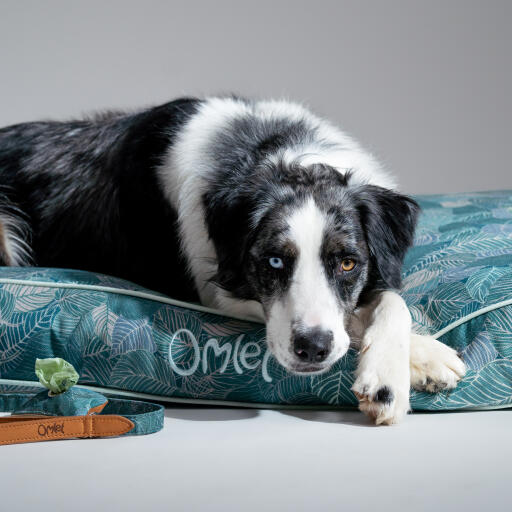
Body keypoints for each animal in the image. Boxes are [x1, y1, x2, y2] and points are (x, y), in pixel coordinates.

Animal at [0, 96, 464, 424]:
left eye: (348, 263)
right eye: (274, 263)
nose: (312, 350)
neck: (273, 151)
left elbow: (389, 299)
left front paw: (409, 363)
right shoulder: (222, 293)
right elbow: (351, 320)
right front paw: (408, 366)